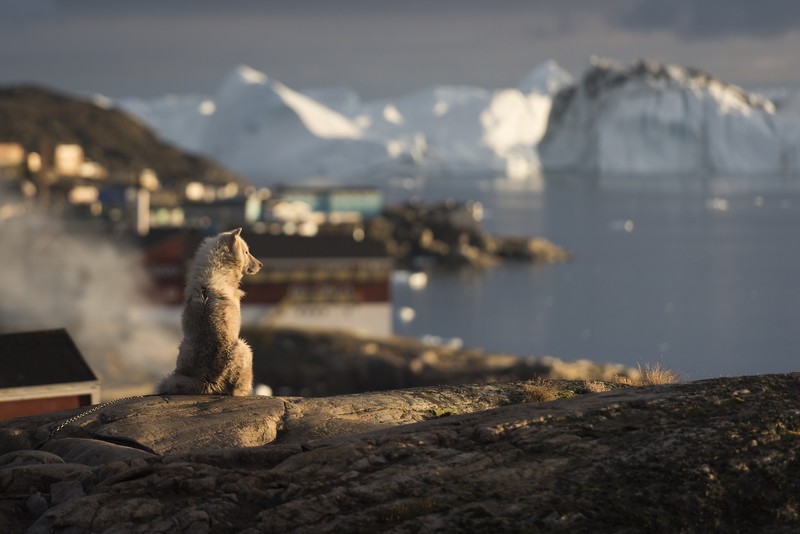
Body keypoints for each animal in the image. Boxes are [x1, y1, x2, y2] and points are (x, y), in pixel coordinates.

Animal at [158, 227, 262, 396]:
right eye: (246, 252)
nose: (261, 265)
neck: (217, 269)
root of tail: (208, 381)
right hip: (245, 347)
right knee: (236, 390)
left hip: (183, 350)